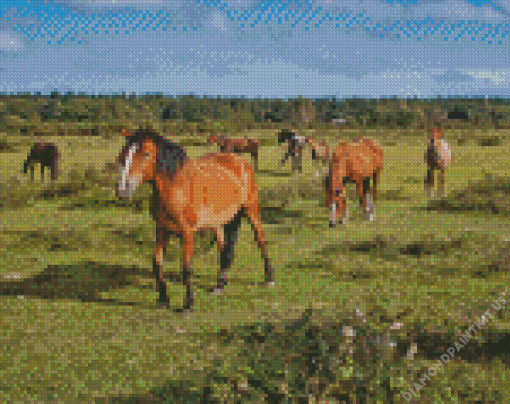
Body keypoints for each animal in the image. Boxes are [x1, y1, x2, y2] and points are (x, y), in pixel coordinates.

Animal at [117, 129, 272, 312]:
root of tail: (239, 161)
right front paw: (163, 300)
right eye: (123, 154)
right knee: (224, 248)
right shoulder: (162, 230)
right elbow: (157, 263)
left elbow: (186, 267)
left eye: (146, 154)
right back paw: (220, 285)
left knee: (260, 240)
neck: (177, 187)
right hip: (218, 223)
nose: (122, 190)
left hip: (251, 210)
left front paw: (188, 304)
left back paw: (269, 278)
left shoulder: (187, 233)